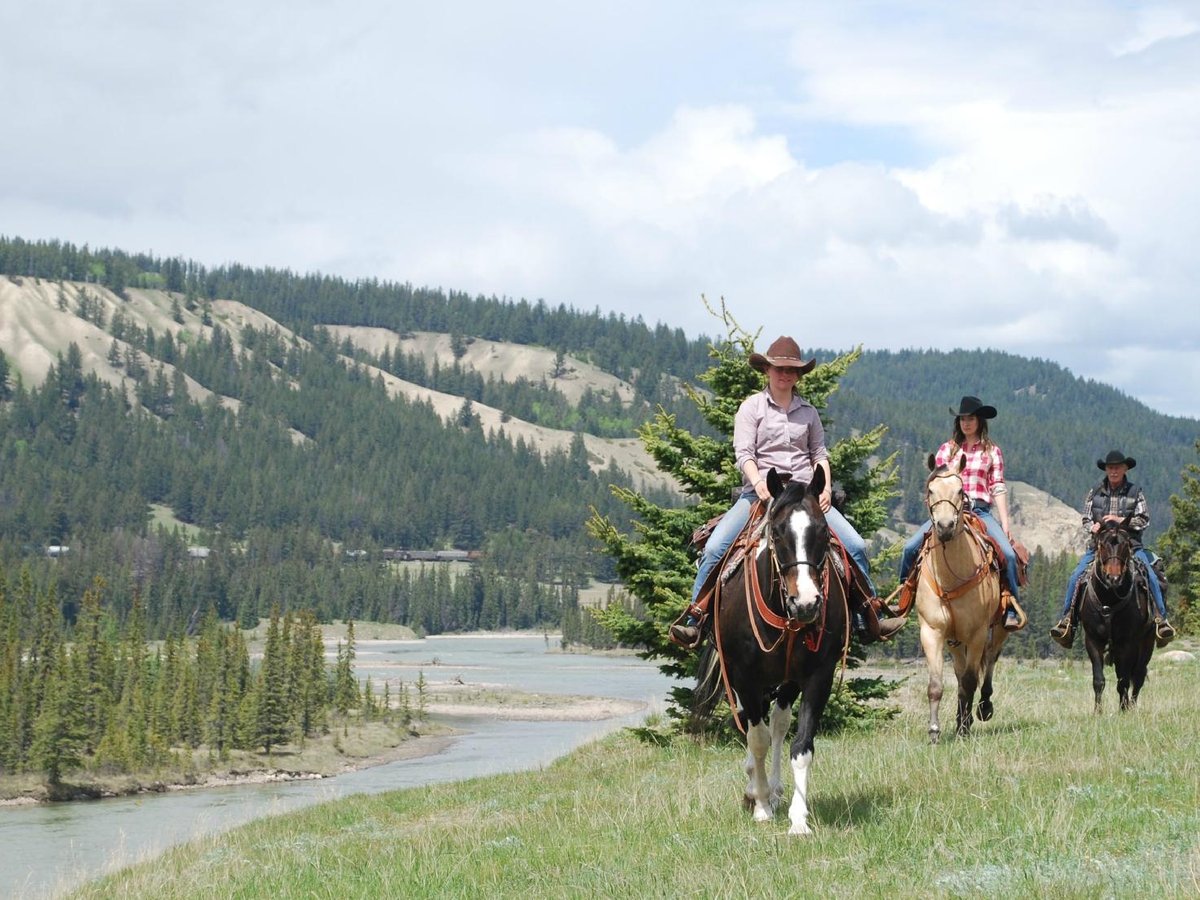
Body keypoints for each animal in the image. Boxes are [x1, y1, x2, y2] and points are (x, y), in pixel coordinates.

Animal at [691, 468, 849, 835]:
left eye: (822, 530)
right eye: (777, 533)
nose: (806, 603)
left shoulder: (818, 675)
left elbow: (801, 745)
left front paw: (798, 819)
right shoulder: (744, 676)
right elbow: (757, 739)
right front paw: (761, 806)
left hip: (786, 680)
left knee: (777, 722)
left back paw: (775, 790)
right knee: (756, 726)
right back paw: (756, 790)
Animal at [912, 458, 1008, 748]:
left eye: (959, 489)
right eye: (931, 490)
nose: (944, 526)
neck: (950, 579)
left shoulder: (977, 633)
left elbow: (969, 681)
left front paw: (964, 728)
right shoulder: (932, 632)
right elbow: (937, 685)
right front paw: (934, 731)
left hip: (999, 628)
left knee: (989, 660)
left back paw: (983, 707)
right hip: (955, 641)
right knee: (959, 670)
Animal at [1080, 518, 1152, 715]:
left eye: (1126, 544)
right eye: (1101, 544)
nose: (1114, 578)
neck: (1109, 601)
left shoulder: (1127, 643)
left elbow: (1124, 680)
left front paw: (1123, 709)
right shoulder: (1093, 640)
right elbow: (1098, 680)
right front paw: (1097, 711)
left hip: (1146, 643)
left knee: (1138, 675)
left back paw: (1131, 706)